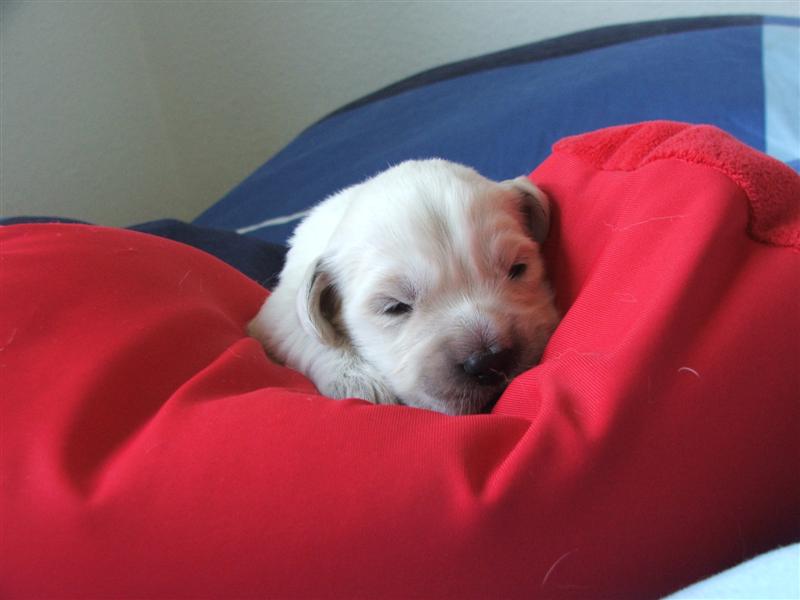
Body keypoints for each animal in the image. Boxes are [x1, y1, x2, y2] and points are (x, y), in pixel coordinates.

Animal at [248, 159, 559, 415]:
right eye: (395, 307)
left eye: (517, 269)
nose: (488, 361)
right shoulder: (276, 313)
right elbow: (304, 334)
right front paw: (358, 380)